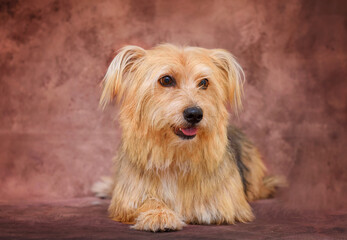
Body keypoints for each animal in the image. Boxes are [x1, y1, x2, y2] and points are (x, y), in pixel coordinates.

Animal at [93, 44, 286, 232]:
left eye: (204, 82)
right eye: (166, 80)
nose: (194, 114)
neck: (176, 154)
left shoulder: (229, 201)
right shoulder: (128, 198)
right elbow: (145, 201)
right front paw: (159, 214)